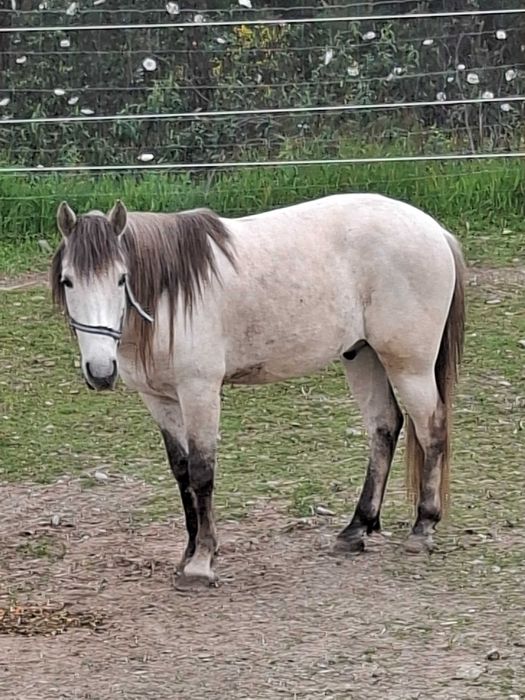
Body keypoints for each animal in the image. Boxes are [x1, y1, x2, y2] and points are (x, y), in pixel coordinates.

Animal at [50, 193, 465, 585]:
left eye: (122, 279)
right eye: (68, 281)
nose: (101, 372)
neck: (170, 296)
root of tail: (434, 231)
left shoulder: (199, 391)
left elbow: (202, 472)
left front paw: (202, 563)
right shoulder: (159, 399)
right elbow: (182, 472)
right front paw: (188, 554)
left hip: (409, 366)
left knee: (431, 429)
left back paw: (422, 528)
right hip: (361, 356)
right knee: (384, 427)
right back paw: (356, 529)